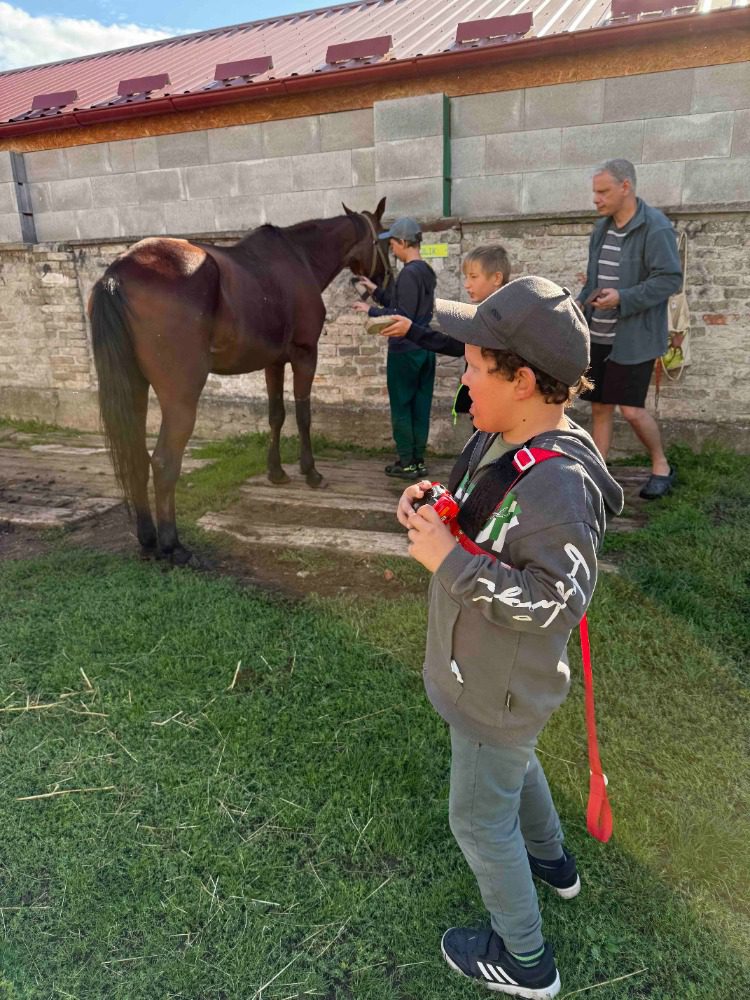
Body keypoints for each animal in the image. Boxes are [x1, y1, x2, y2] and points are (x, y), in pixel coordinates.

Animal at [88, 198, 391, 565]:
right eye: (384, 238)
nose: (385, 283)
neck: (299, 257)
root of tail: (115, 275)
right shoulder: (306, 355)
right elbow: (303, 414)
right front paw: (311, 472)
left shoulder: (274, 362)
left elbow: (276, 415)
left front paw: (276, 473)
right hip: (180, 396)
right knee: (163, 462)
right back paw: (173, 546)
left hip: (134, 388)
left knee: (136, 458)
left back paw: (147, 540)